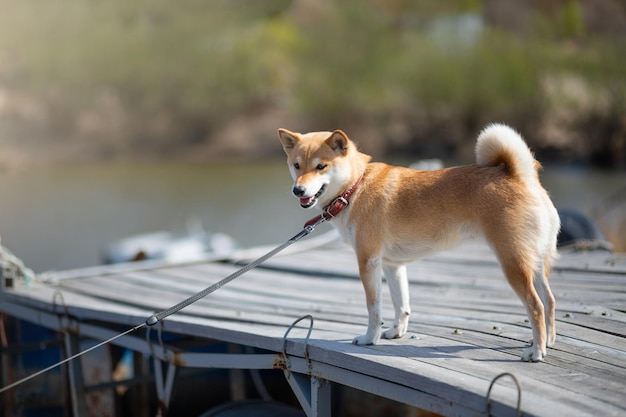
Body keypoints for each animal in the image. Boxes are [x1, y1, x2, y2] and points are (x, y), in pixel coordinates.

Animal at [280, 124, 560, 360]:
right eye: (296, 165)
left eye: (320, 167)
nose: (297, 190)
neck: (354, 187)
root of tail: (520, 176)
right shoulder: (393, 265)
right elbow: (401, 304)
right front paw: (396, 333)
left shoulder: (368, 262)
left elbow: (374, 309)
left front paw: (370, 339)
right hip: (535, 263)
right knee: (549, 301)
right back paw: (547, 342)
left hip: (513, 263)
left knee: (536, 306)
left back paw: (536, 352)